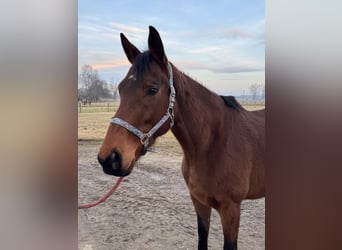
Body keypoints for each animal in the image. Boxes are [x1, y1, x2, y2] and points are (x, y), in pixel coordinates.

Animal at [97, 25, 266, 250]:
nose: (110, 158)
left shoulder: (231, 209)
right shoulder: (199, 202)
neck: (213, 145)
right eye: (121, 89)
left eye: (152, 89)